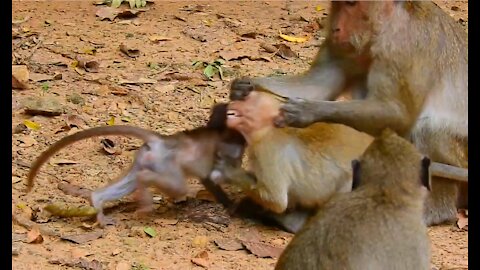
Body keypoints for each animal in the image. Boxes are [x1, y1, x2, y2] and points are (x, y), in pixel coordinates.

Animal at [27, 103, 248, 226]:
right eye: (238, 153)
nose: (238, 159)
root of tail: (162, 141)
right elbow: (213, 179)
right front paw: (232, 205)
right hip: (166, 164)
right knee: (171, 185)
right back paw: (150, 199)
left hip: (148, 159)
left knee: (132, 181)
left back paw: (98, 202)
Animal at [231, 1, 466, 226]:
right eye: (337, 3)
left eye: (351, 4)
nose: (334, 27)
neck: (384, 27)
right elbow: (317, 85)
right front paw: (244, 86)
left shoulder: (403, 46)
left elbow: (399, 113)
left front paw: (309, 111)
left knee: (430, 129)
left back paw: (433, 212)